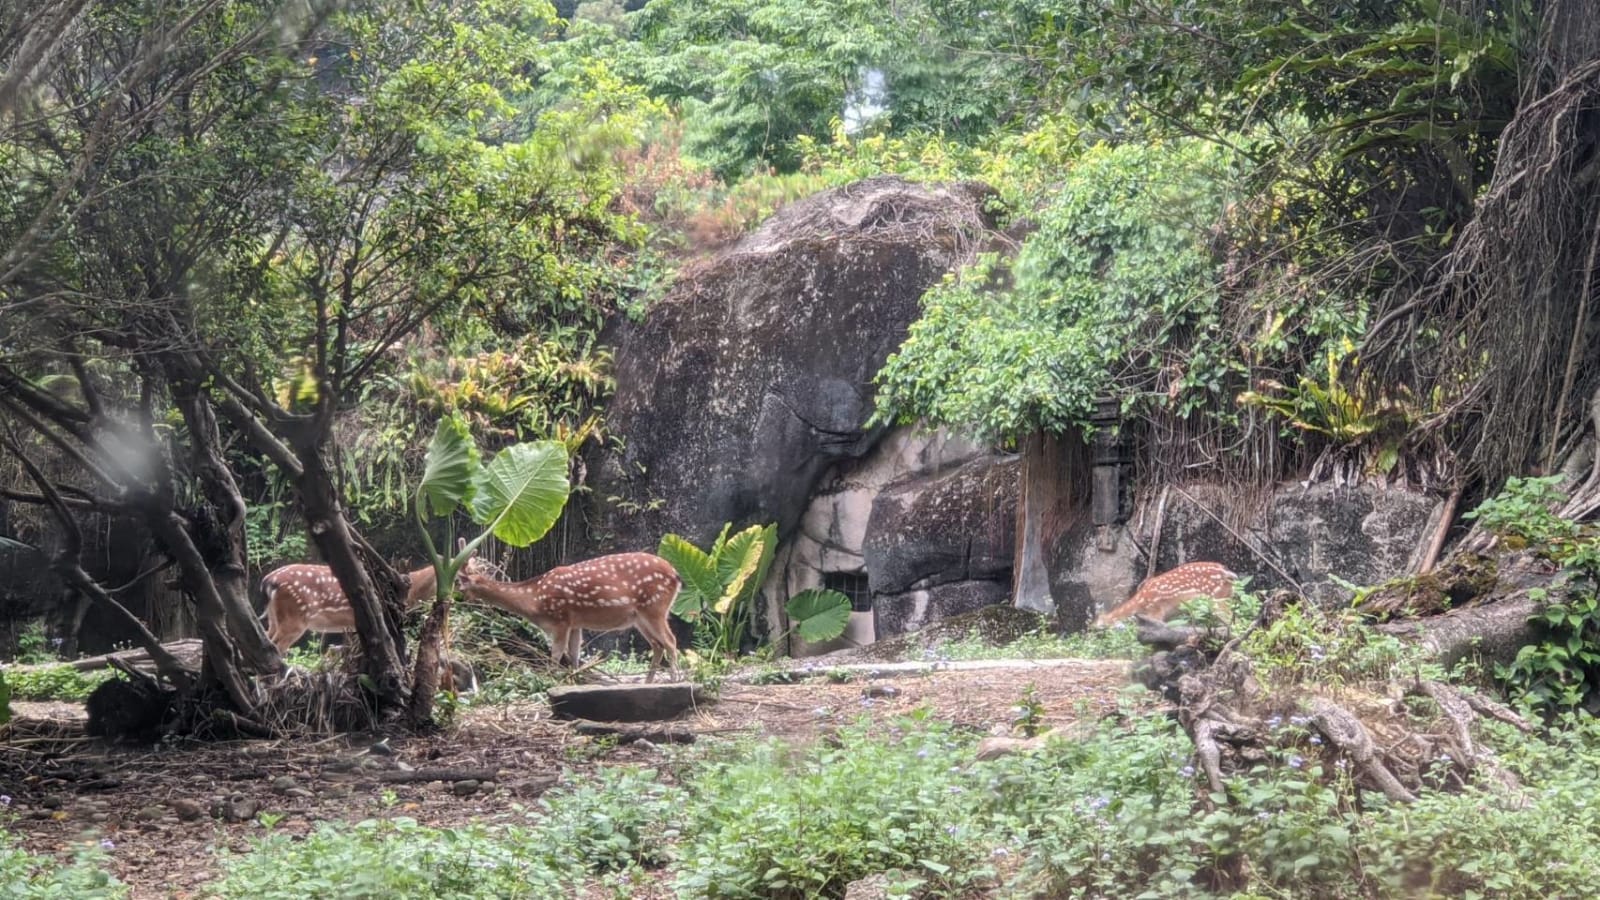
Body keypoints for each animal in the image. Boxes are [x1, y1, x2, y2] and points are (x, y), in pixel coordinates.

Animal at [457, 552, 683, 682]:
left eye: (459, 582)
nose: (458, 598)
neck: (533, 599)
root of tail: (676, 575)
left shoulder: (560, 620)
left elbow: (556, 655)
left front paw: (550, 681)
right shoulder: (576, 623)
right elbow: (574, 654)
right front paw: (575, 679)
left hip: (654, 607)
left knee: (671, 641)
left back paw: (675, 679)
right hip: (639, 617)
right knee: (658, 645)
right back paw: (648, 681)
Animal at [1094, 561, 1239, 627]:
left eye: (1100, 626)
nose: (1092, 629)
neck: (1140, 603)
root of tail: (1227, 574)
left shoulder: (1156, 610)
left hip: (1216, 598)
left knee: (1230, 617)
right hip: (1225, 595)